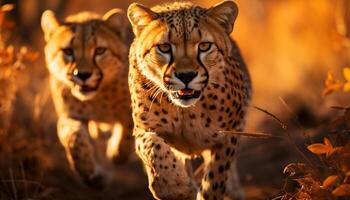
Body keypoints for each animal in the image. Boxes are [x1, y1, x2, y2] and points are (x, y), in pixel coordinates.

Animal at [41, 9, 133, 188]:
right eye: (68, 51)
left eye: (100, 51)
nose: (83, 75)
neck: (97, 98)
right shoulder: (72, 116)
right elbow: (73, 137)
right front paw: (86, 168)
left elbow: (128, 129)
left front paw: (118, 154)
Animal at [127, 0, 250, 199]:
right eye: (164, 47)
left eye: (205, 46)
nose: (186, 76)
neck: (186, 110)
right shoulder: (143, 130)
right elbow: (153, 149)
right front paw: (175, 187)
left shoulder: (232, 131)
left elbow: (216, 176)